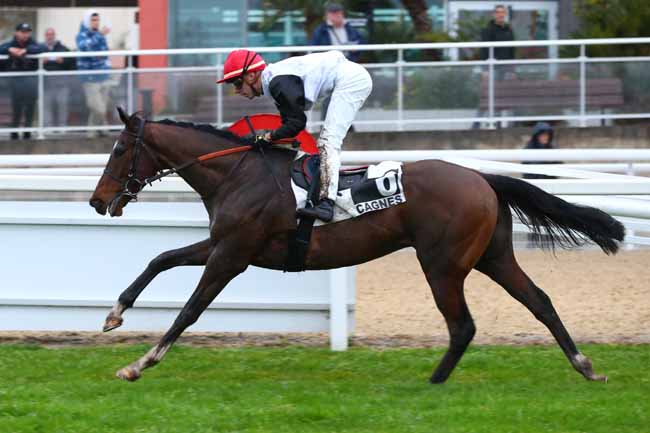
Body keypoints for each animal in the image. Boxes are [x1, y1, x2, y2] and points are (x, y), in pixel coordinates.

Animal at [90, 107, 624, 382]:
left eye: (118, 149)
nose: (97, 201)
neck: (236, 174)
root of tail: (482, 177)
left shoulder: (232, 255)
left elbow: (190, 310)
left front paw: (139, 364)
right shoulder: (226, 246)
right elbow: (160, 258)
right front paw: (114, 315)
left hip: (443, 264)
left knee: (463, 325)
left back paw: (431, 383)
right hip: (492, 257)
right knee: (539, 301)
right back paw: (585, 366)